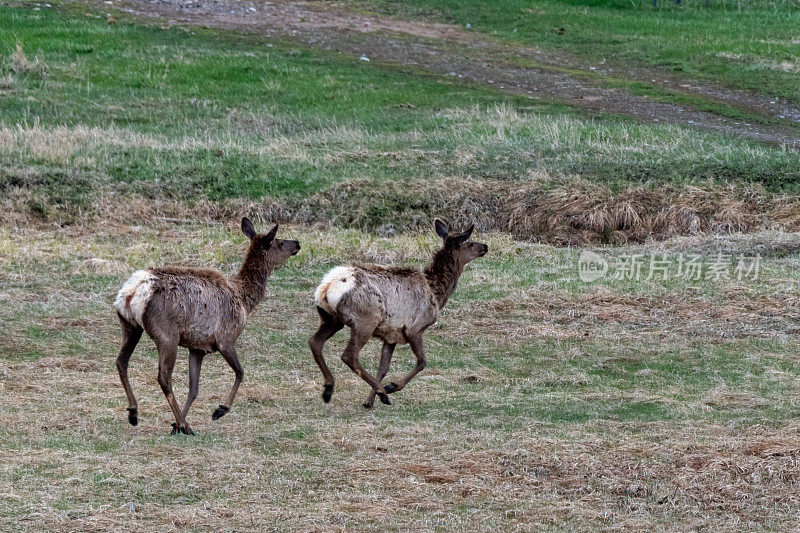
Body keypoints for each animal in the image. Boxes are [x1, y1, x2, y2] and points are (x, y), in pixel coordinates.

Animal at [112, 218, 300, 434]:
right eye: (280, 242)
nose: (297, 243)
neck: (244, 301)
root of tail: (133, 291)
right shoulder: (225, 338)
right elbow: (240, 372)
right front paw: (219, 410)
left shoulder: (197, 347)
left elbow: (194, 389)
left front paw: (174, 425)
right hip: (166, 334)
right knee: (163, 376)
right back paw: (185, 425)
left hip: (130, 325)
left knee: (121, 361)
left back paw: (135, 413)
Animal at [310, 219, 488, 408]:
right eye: (470, 242)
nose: (485, 246)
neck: (436, 292)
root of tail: (327, 287)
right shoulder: (414, 328)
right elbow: (422, 361)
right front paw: (391, 387)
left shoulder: (390, 334)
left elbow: (383, 368)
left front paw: (369, 401)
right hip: (366, 319)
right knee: (349, 355)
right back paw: (381, 393)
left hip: (330, 318)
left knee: (315, 342)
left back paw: (329, 389)